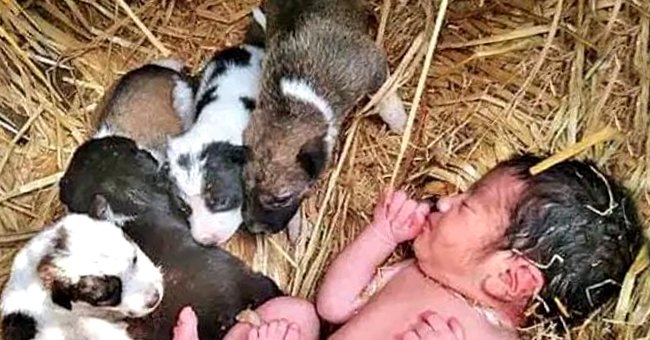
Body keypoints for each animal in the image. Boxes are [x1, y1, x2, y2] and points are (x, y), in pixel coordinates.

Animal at [242, 0, 404, 235]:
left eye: (282, 199)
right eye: (245, 187)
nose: (253, 228)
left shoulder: (372, 65)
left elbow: (385, 95)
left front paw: (400, 120)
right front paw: (297, 227)